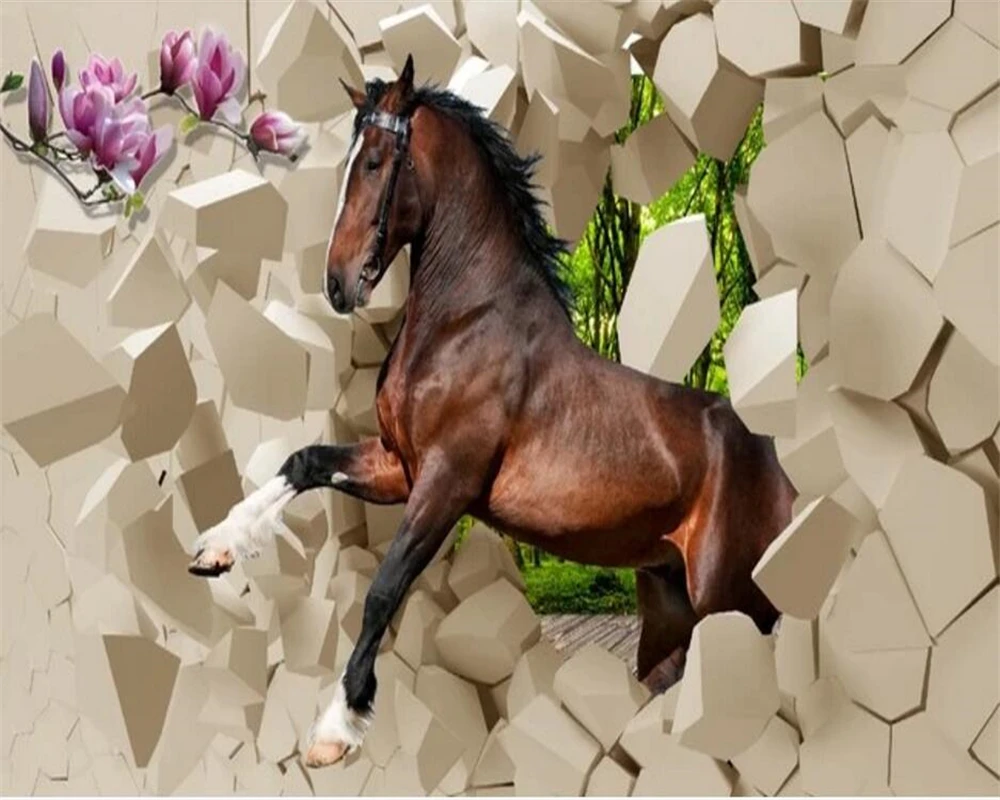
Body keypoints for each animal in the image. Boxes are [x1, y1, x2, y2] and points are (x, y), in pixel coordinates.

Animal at [187, 55, 795, 768]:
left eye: (375, 162)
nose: (338, 284)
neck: (465, 321)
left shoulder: (446, 481)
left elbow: (383, 589)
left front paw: (337, 726)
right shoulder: (398, 467)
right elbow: (303, 460)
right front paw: (216, 548)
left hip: (734, 606)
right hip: (670, 611)